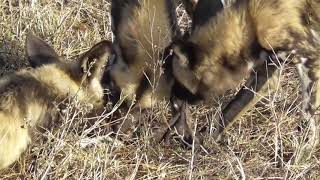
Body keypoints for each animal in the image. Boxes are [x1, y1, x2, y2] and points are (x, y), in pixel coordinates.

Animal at [170, 0, 320, 162]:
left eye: (178, 83)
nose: (173, 99)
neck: (251, 23)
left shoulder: (311, 63)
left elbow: (307, 125)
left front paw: (300, 158)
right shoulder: (266, 72)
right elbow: (229, 112)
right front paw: (202, 141)